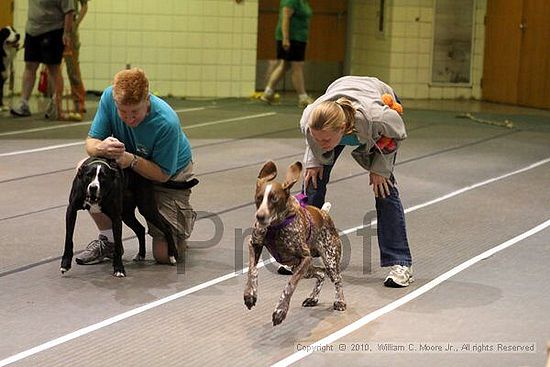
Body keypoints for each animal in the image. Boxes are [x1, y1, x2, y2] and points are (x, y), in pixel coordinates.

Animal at [245, 160, 348, 326]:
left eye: (274, 199)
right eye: (259, 197)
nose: (260, 216)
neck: (275, 227)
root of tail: (324, 213)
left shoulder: (304, 258)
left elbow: (290, 285)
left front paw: (280, 310)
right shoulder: (254, 244)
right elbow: (252, 270)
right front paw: (250, 295)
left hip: (329, 259)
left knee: (337, 279)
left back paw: (340, 301)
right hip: (300, 267)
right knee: (321, 273)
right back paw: (313, 298)